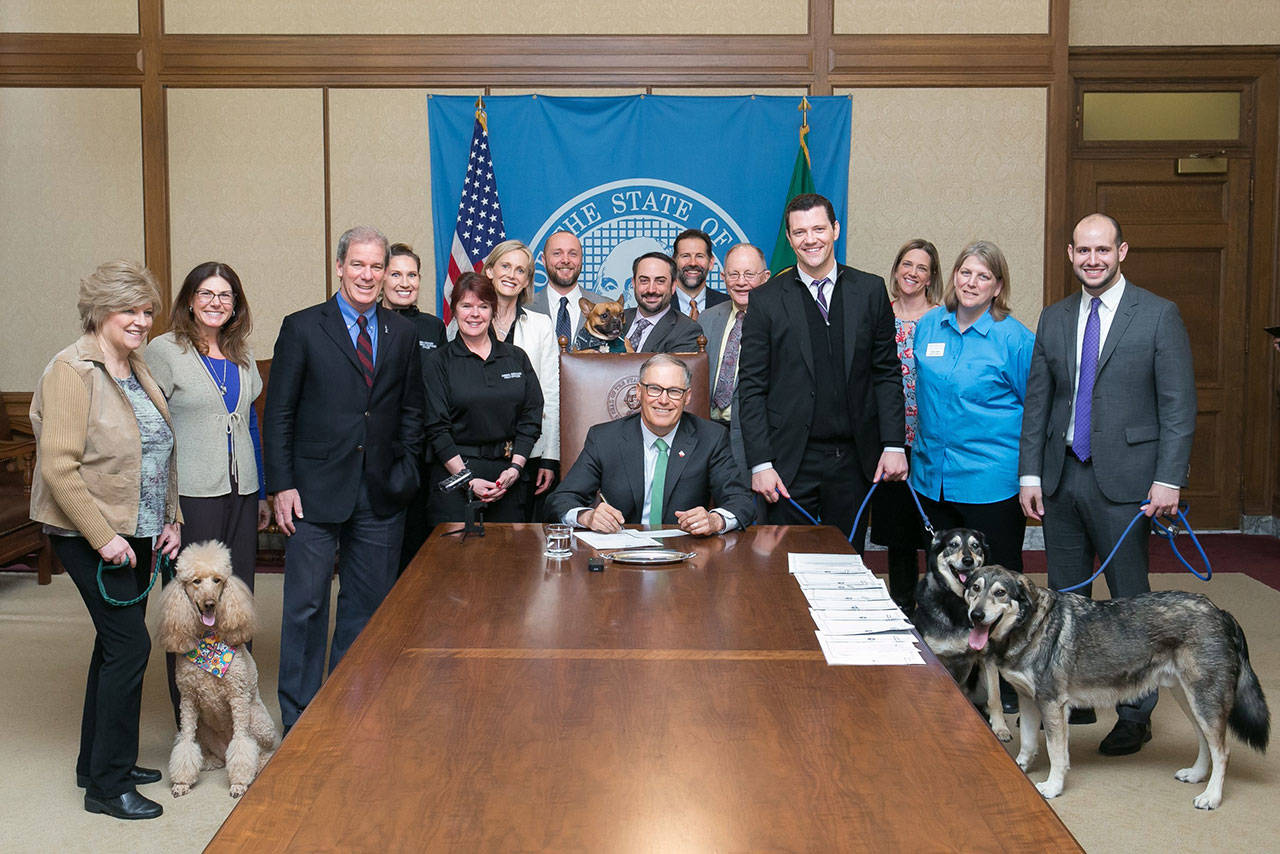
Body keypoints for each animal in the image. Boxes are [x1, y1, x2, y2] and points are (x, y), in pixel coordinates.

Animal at [967, 568, 1269, 809]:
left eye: (1000, 593)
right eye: (975, 588)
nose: (976, 615)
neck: (1031, 626)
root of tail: (1220, 612)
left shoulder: (1052, 705)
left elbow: (1056, 753)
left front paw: (1052, 787)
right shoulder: (1028, 701)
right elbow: (1029, 744)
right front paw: (1019, 769)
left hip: (1204, 703)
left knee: (1223, 752)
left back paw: (1211, 797)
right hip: (1191, 701)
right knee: (1206, 742)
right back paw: (1196, 775)